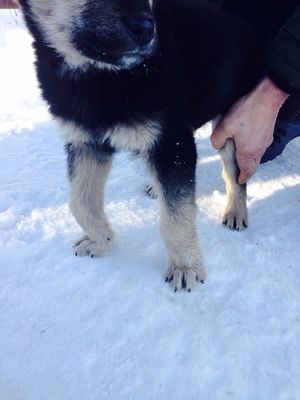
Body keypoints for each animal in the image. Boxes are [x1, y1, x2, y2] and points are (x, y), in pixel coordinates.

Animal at [18, 0, 264, 290]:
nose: (146, 30)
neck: (101, 75)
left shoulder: (171, 140)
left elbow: (176, 217)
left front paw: (186, 267)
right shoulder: (85, 142)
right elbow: (80, 201)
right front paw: (102, 240)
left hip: (234, 123)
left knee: (234, 174)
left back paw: (236, 211)